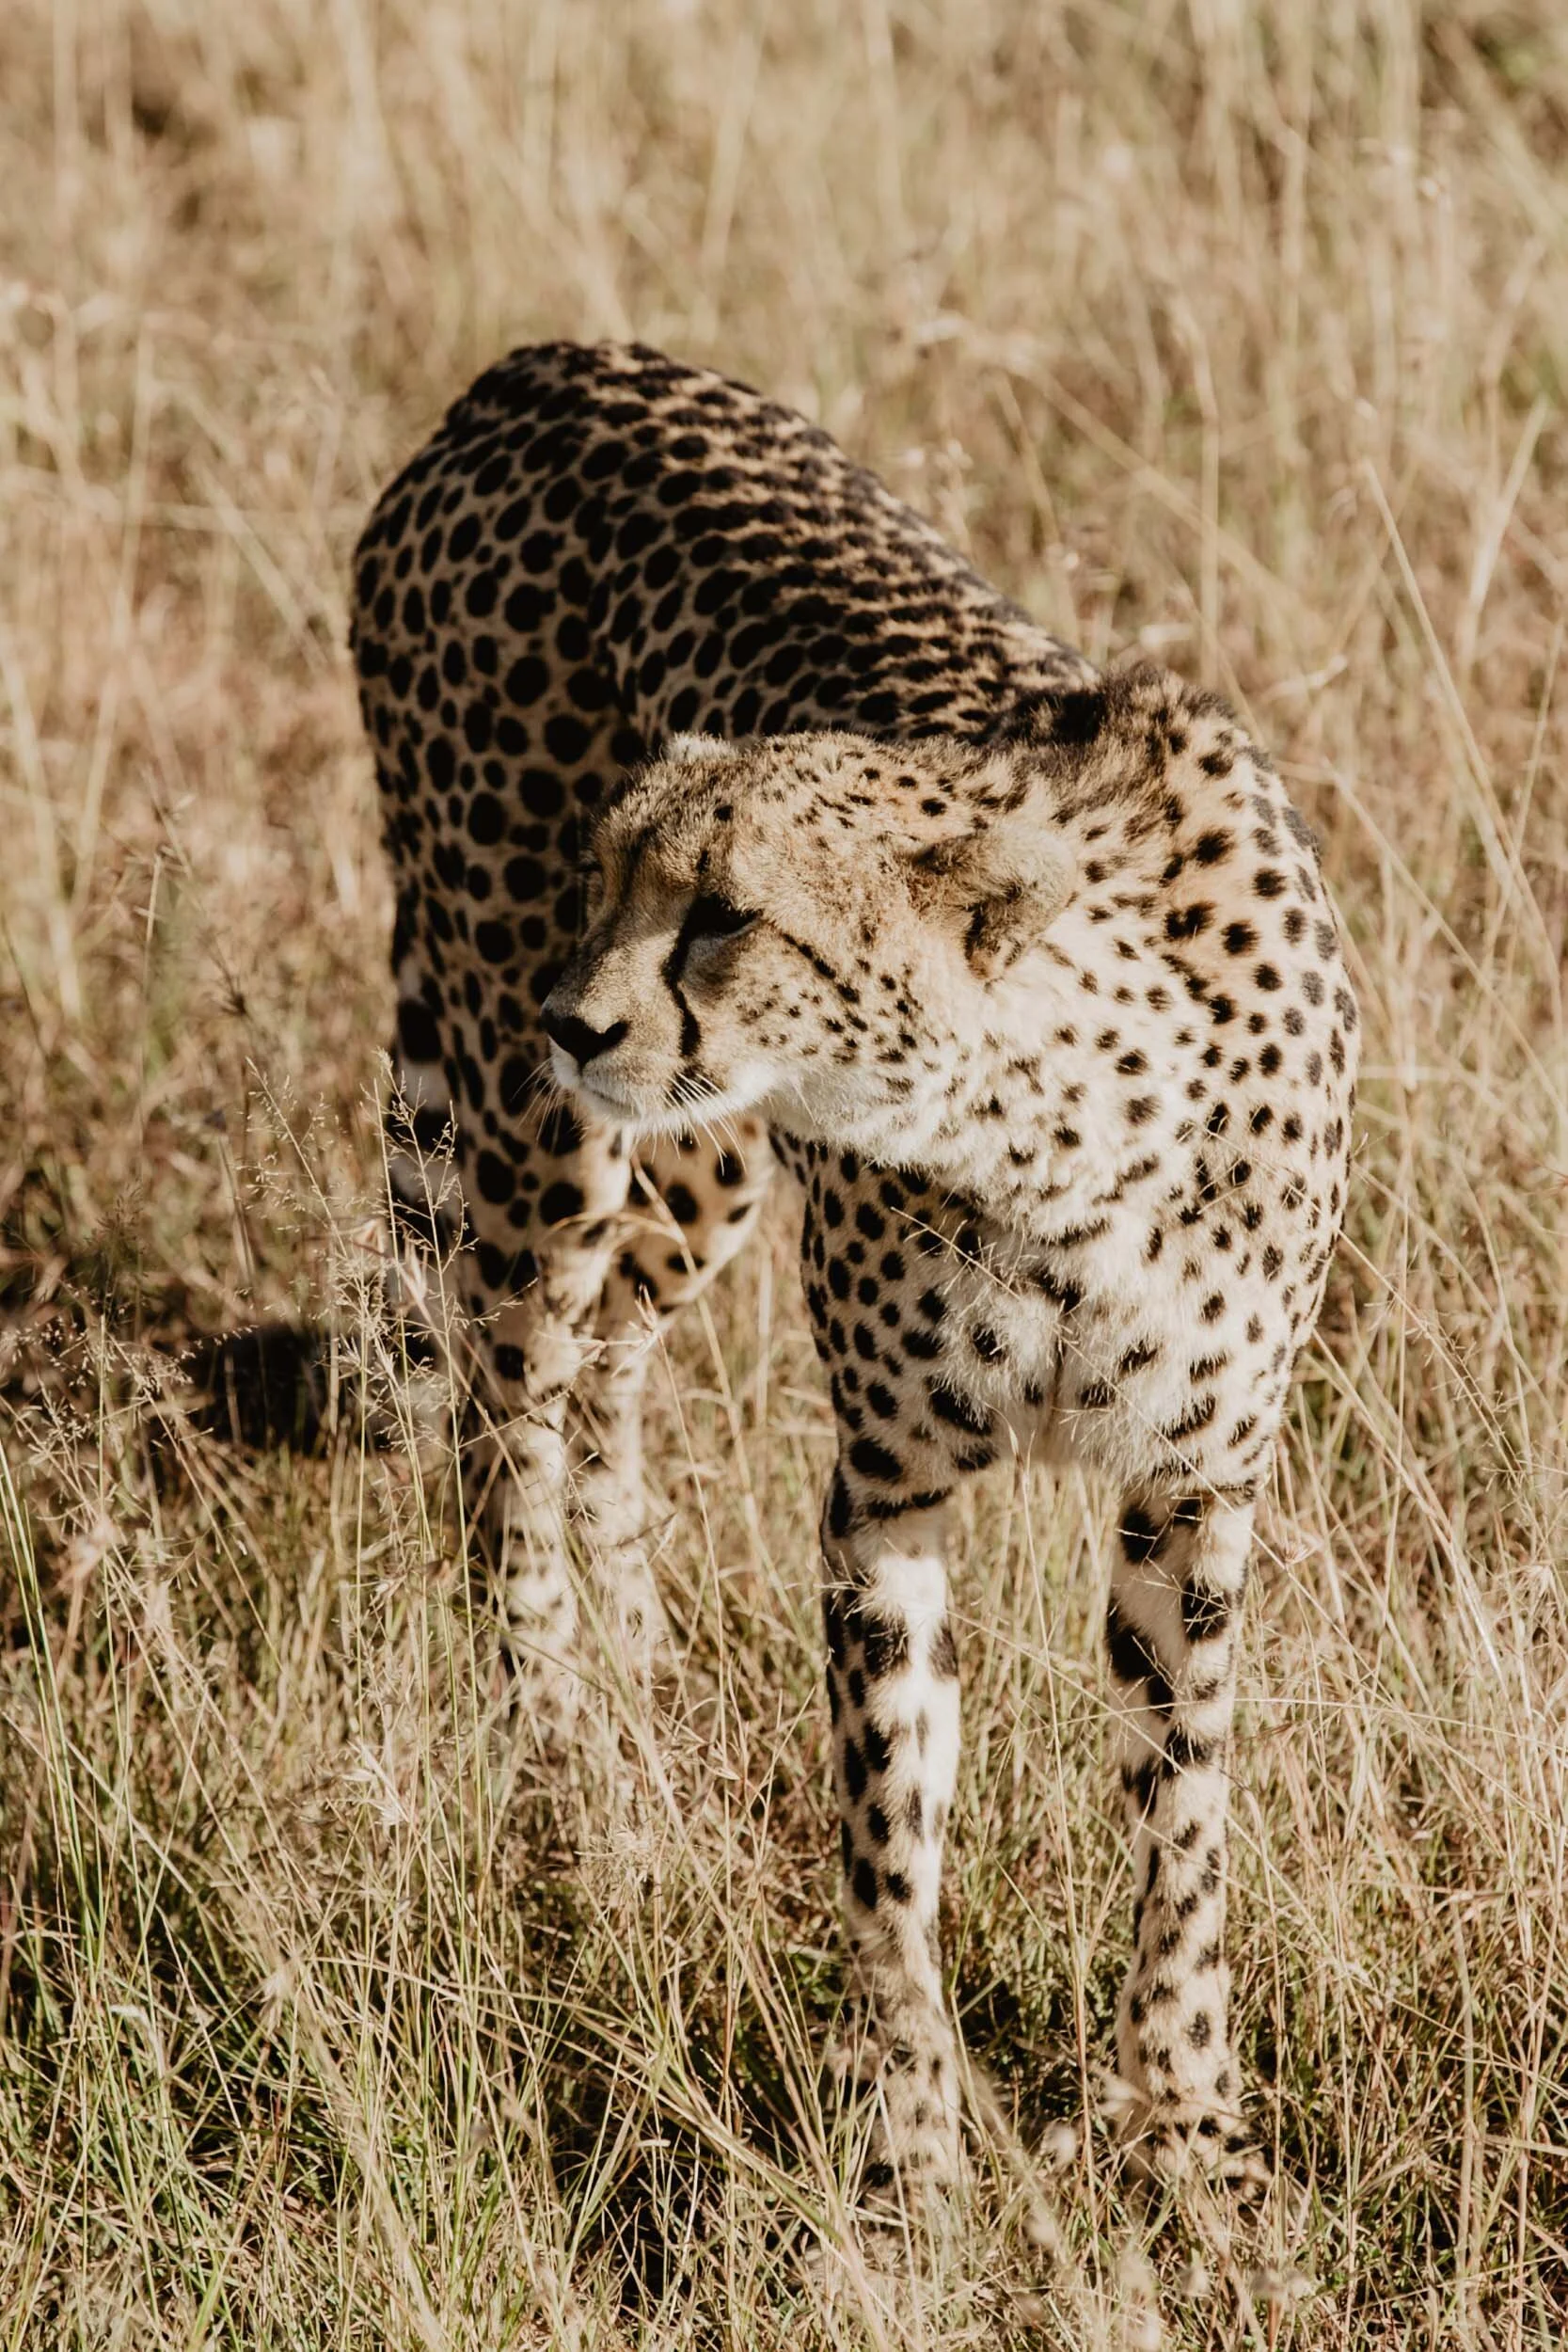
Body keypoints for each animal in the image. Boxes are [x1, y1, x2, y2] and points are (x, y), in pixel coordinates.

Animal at [345, 338, 1357, 2214]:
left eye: (724, 915)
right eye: (615, 877)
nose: (573, 1015)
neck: (1059, 1132)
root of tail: (544, 364)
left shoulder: (1193, 1488)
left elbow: (1184, 1822)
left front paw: (1188, 2140)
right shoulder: (886, 1489)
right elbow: (888, 1833)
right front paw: (910, 2153)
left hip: (699, 1160)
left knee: (606, 1368)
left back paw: (640, 1673)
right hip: (538, 1140)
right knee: (503, 1411)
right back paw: (558, 1777)